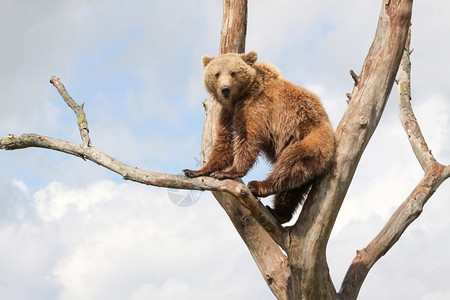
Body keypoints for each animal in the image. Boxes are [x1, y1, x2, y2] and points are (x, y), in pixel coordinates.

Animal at [183, 51, 334, 224]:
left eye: (233, 73)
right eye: (217, 74)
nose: (225, 89)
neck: (238, 98)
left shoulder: (256, 108)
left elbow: (248, 139)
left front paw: (228, 172)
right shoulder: (228, 114)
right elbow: (224, 143)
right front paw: (197, 170)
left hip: (310, 140)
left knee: (290, 164)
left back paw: (259, 186)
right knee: (294, 188)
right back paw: (279, 213)